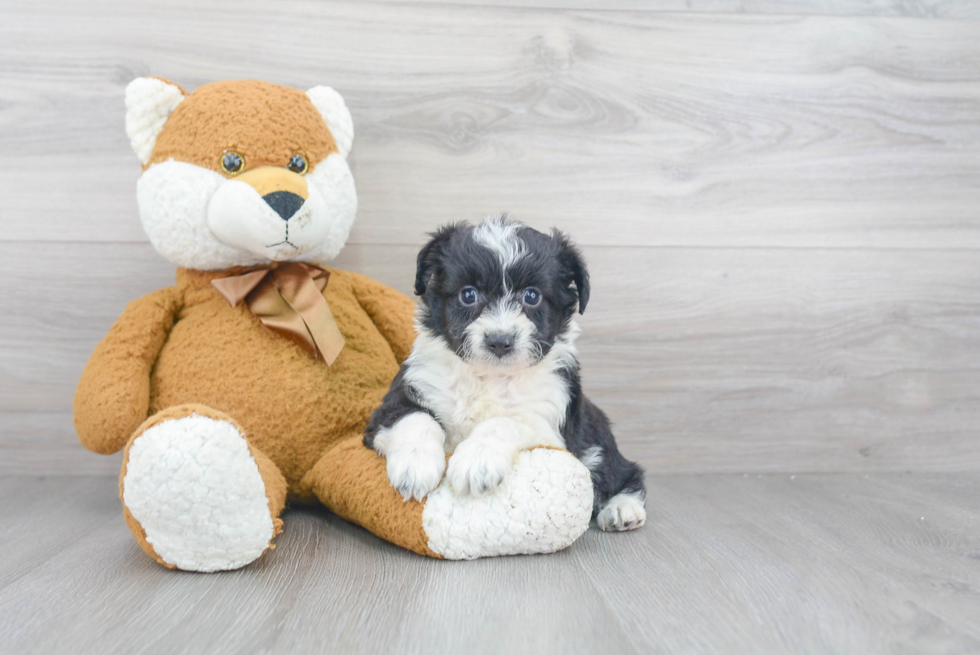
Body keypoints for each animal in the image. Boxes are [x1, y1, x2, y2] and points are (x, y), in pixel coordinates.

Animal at [364, 215, 648, 532]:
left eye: (532, 296)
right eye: (468, 295)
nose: (499, 340)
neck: (489, 376)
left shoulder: (551, 429)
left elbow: (505, 421)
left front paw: (477, 461)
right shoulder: (396, 401)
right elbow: (416, 418)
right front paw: (415, 466)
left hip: (596, 439)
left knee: (623, 471)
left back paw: (623, 508)